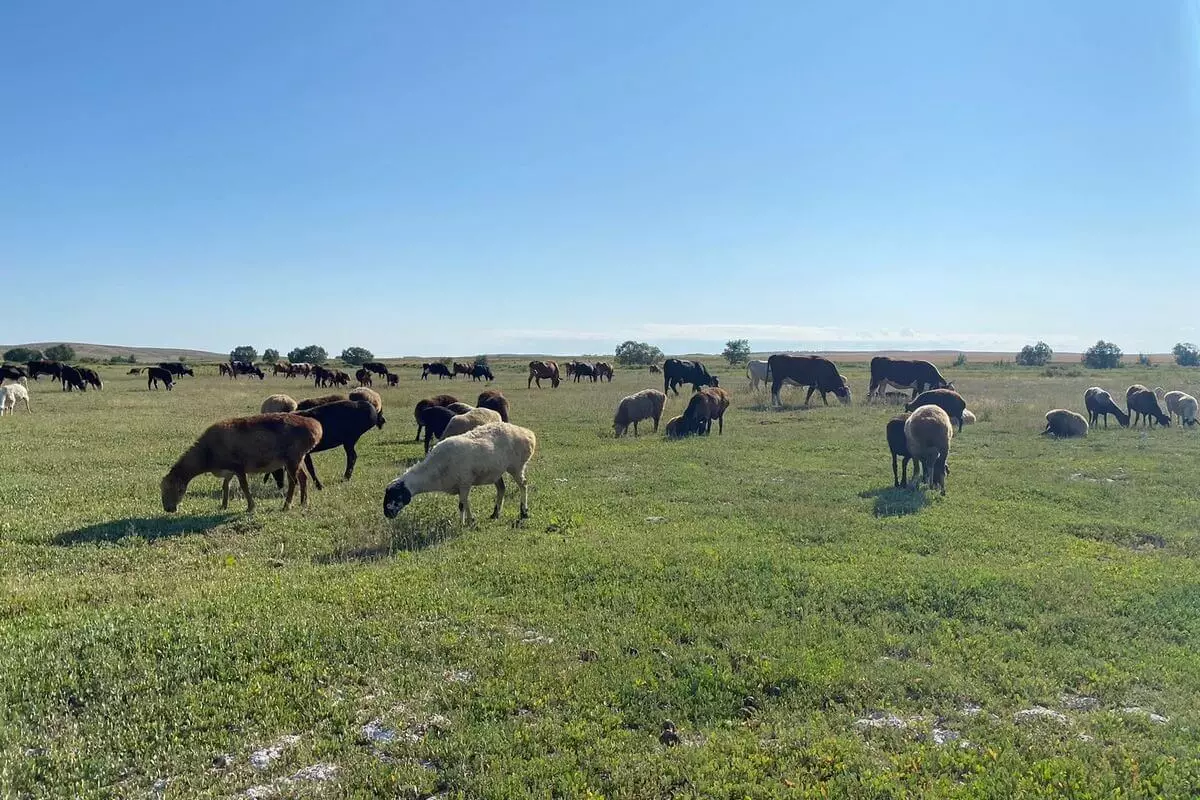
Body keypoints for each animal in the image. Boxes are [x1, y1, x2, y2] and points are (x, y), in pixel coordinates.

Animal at [164, 412, 326, 513]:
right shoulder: (228, 470)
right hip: (299, 458)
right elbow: (225, 486)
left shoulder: (238, 467)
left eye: (177, 490)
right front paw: (223, 505)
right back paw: (303, 502)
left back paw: (287, 506)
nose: (168, 509)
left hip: (292, 458)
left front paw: (250, 507)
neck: (207, 453)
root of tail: (315, 427)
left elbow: (244, 486)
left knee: (293, 482)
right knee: (303, 477)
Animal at [384, 419, 535, 525]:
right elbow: (466, 502)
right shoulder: (462, 485)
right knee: (502, 489)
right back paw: (495, 514)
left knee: (523, 485)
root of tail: (528, 433)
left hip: (516, 466)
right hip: (496, 471)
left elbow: (462, 505)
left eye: (396, 496)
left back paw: (524, 512)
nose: (387, 514)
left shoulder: (464, 482)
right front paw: (471, 520)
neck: (434, 471)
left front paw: (461, 524)